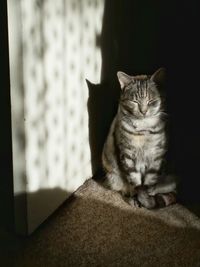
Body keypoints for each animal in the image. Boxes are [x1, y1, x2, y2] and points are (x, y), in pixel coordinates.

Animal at [102, 67, 176, 209]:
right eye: (134, 101)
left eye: (151, 101)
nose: (143, 111)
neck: (143, 129)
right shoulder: (127, 154)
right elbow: (134, 181)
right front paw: (137, 198)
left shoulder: (156, 155)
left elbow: (148, 183)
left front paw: (147, 199)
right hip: (112, 175)